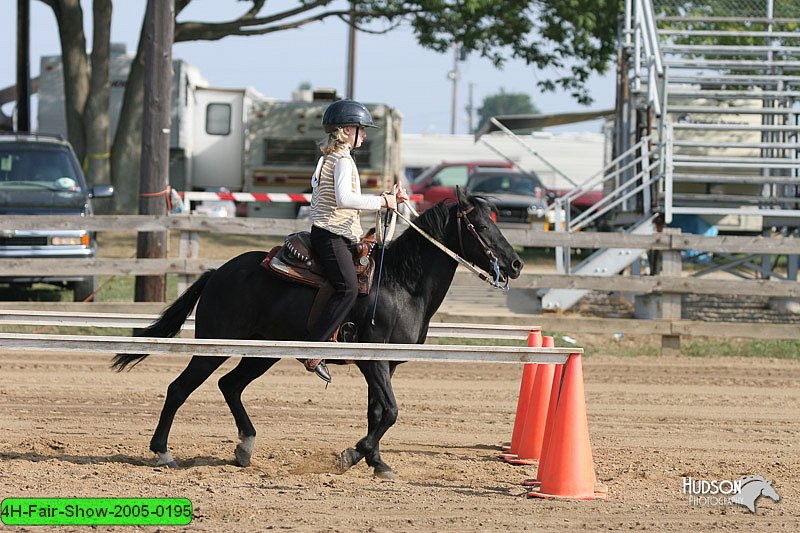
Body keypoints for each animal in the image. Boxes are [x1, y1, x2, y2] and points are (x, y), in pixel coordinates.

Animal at [112, 190, 524, 478]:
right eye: (481, 226)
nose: (516, 264)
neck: (400, 284)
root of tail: (219, 273)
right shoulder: (372, 361)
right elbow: (390, 411)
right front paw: (353, 455)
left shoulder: (385, 365)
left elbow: (377, 412)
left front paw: (375, 461)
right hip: (214, 346)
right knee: (180, 388)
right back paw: (163, 452)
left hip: (261, 352)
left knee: (230, 385)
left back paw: (245, 447)